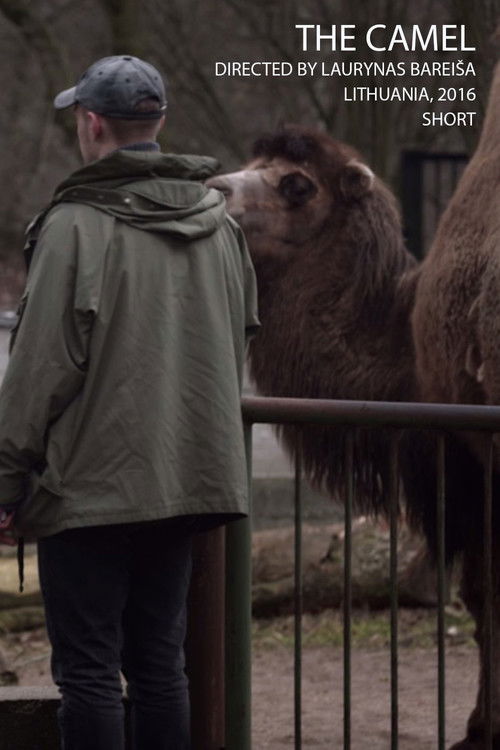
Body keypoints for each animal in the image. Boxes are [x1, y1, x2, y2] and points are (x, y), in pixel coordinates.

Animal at [206, 67, 500, 748]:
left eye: (296, 183)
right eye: (250, 166)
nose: (213, 188)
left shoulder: (468, 456)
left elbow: (487, 597)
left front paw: (482, 729)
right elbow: (480, 596)